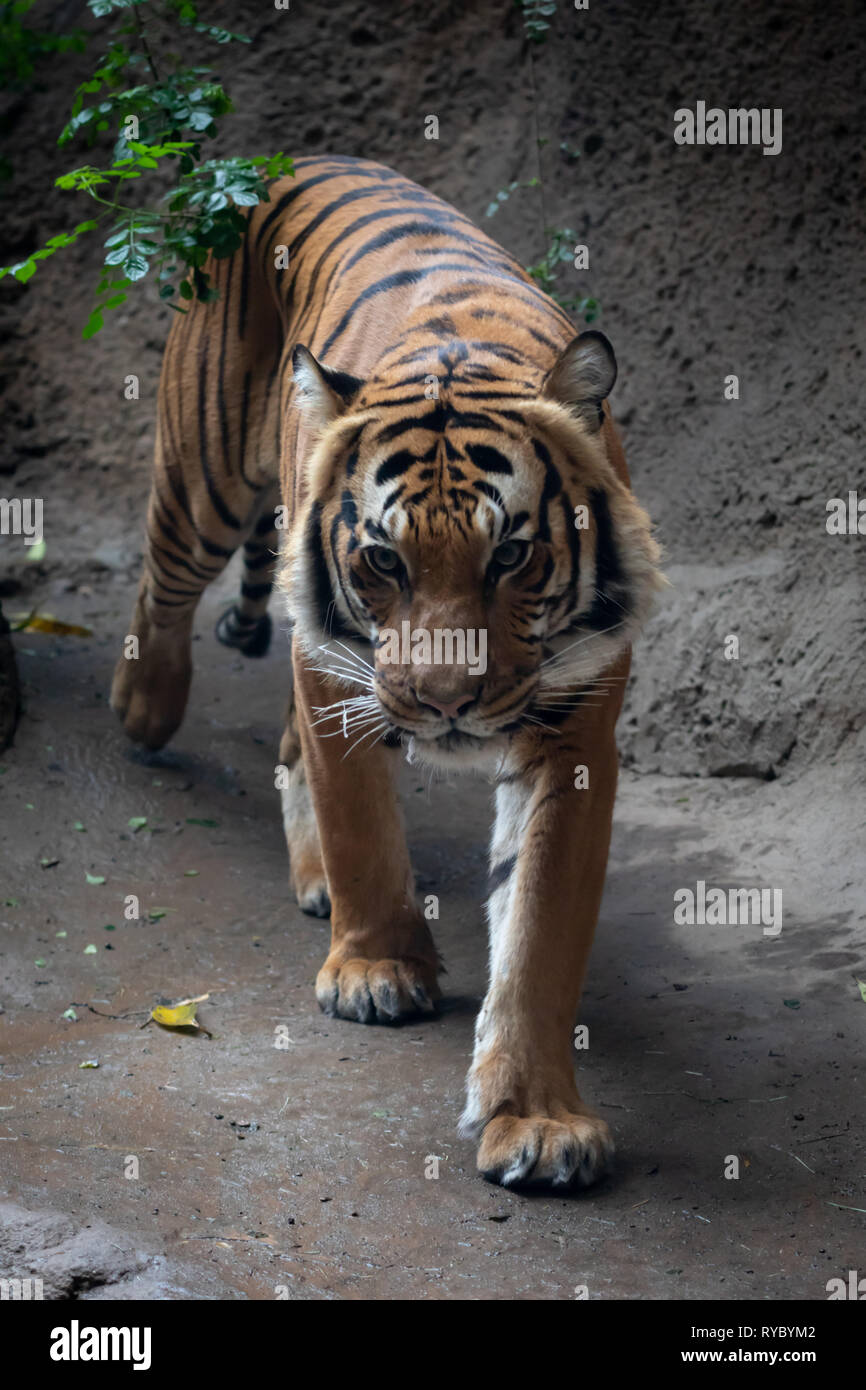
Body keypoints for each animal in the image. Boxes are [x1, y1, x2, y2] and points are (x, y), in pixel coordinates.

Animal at [108, 154, 664, 1195]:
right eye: (383, 561)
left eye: (511, 556)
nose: (445, 705)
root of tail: (293, 161)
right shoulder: (337, 664)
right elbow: (361, 820)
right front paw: (375, 972)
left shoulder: (573, 729)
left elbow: (538, 935)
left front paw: (537, 1121)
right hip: (204, 479)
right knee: (163, 585)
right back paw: (144, 711)